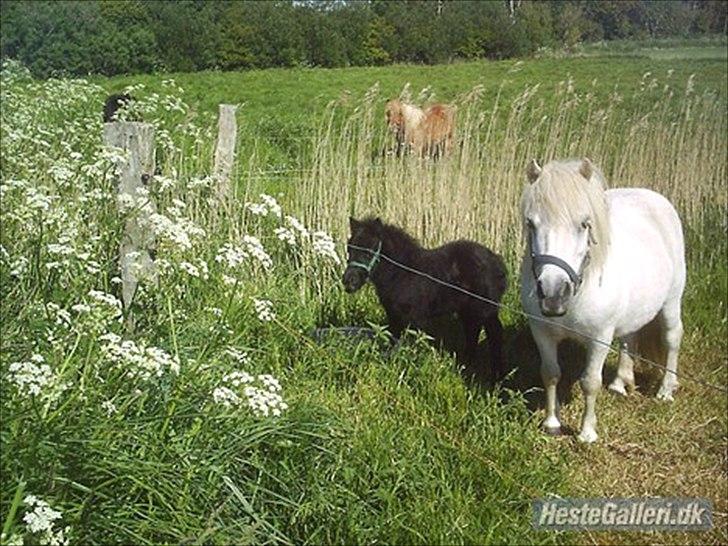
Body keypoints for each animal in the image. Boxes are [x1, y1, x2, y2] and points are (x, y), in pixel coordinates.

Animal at [346, 215, 506, 376]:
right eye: (349, 248)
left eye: (368, 251)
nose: (348, 281)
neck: (402, 273)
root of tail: (498, 262)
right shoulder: (393, 316)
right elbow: (393, 343)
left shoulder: (415, 319)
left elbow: (414, 346)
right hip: (468, 310)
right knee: (473, 331)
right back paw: (465, 366)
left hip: (486, 309)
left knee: (495, 334)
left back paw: (496, 374)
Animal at [520, 157, 684, 442]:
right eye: (531, 223)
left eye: (584, 224)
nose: (553, 294)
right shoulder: (541, 331)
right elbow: (550, 373)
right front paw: (552, 423)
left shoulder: (599, 337)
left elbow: (590, 382)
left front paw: (587, 434)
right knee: (630, 337)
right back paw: (620, 384)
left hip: (671, 302)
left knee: (672, 338)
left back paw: (665, 390)